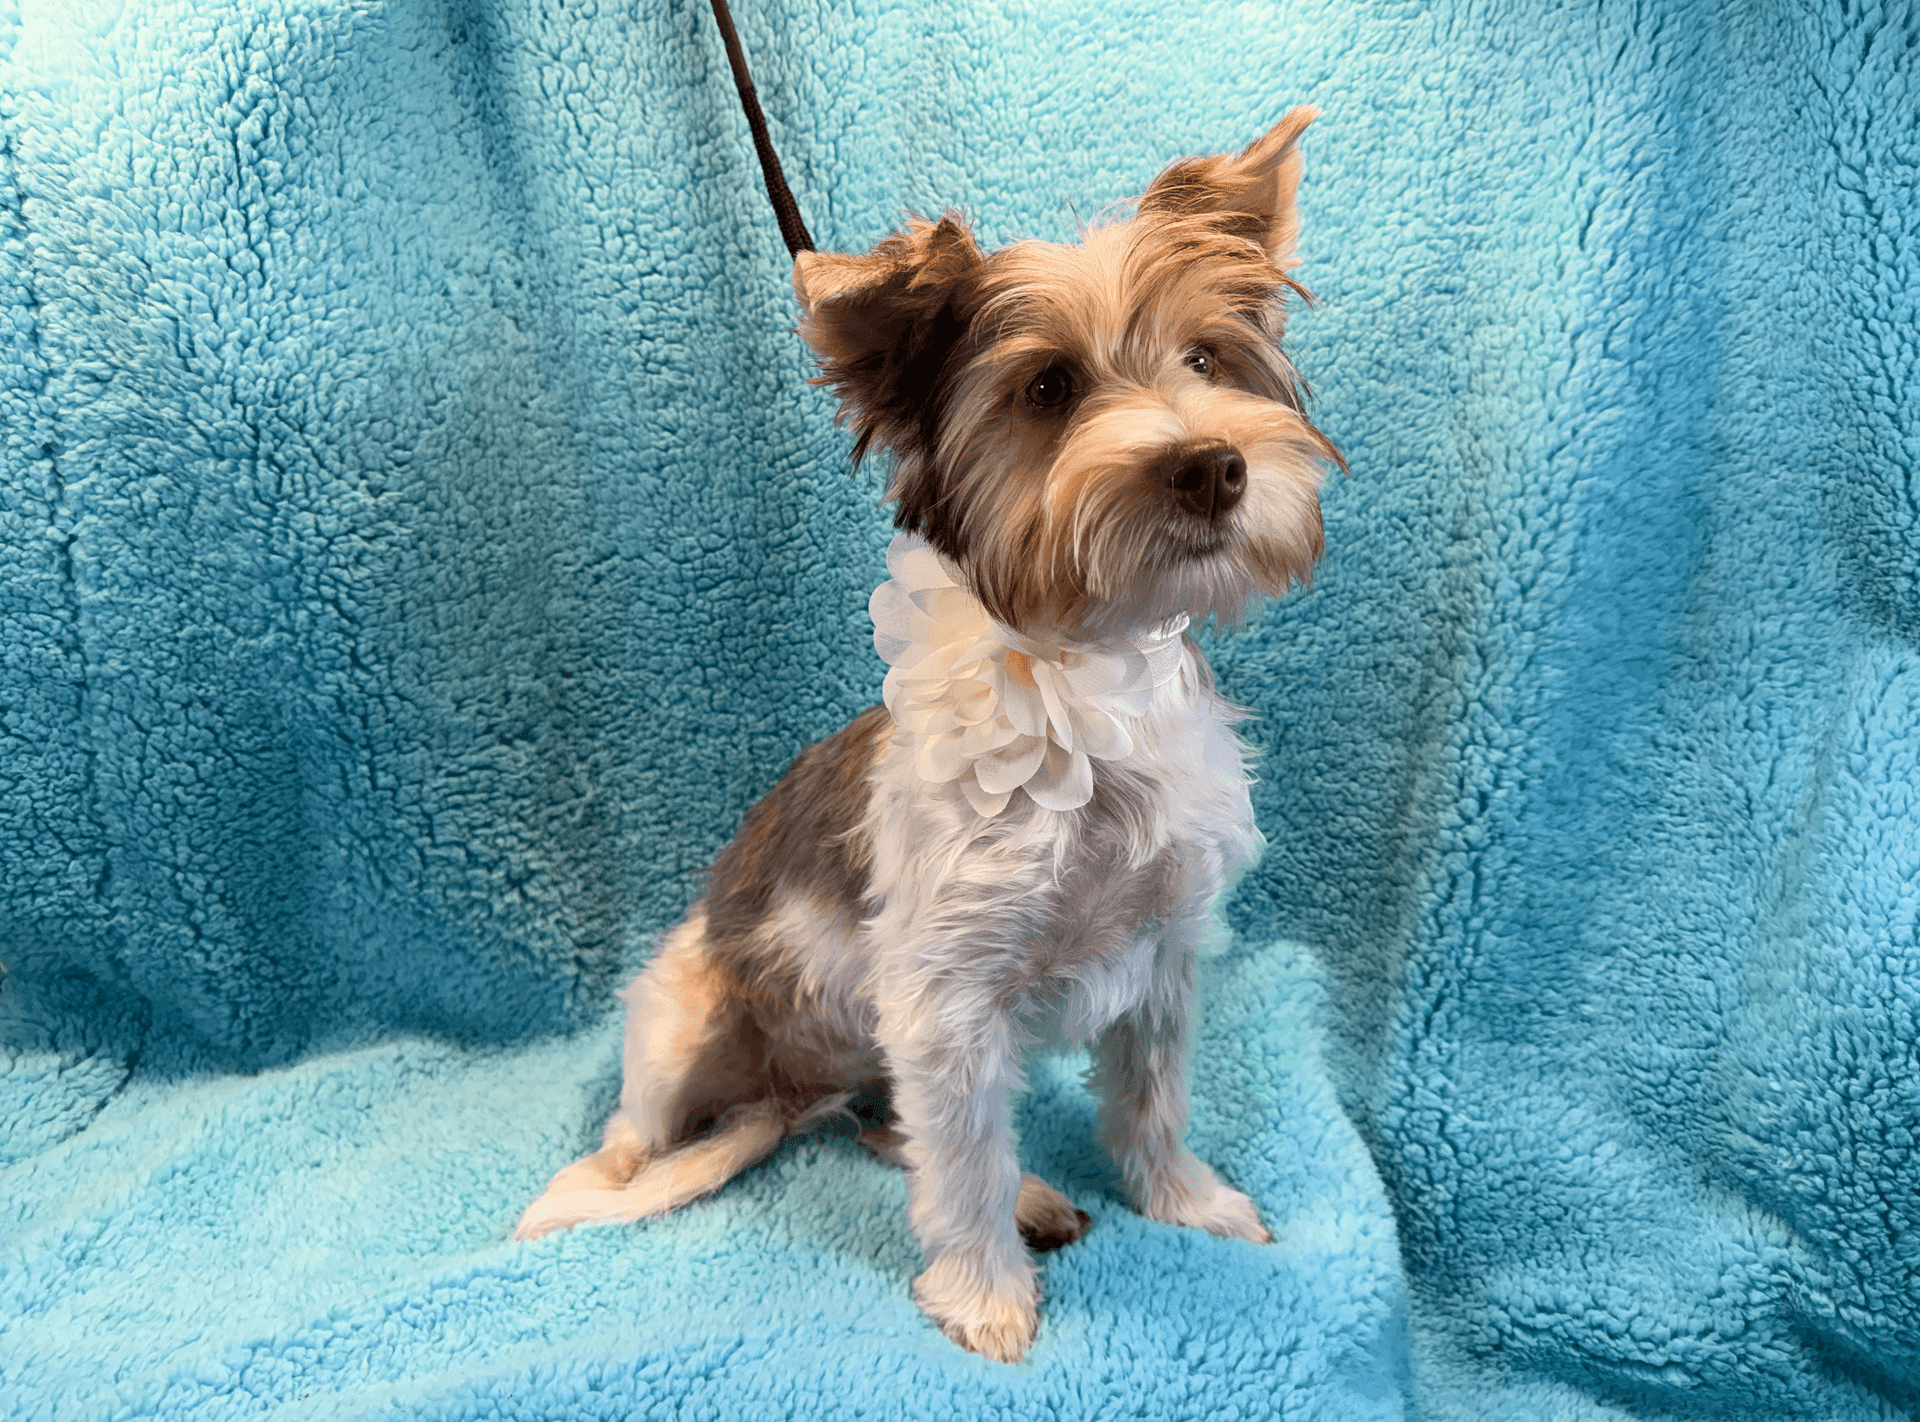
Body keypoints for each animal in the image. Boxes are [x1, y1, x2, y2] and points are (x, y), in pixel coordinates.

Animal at [518, 105, 1344, 1358]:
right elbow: (961, 1166)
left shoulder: (1161, 959)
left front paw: (1181, 1200)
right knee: (659, 1128)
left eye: (1206, 358)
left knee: (883, 1124)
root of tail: (789, 1097)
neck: (1082, 684)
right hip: (683, 1004)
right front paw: (985, 1296)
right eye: (1048, 386)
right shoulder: (943, 1004)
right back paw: (608, 1180)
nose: (1213, 466)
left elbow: (1150, 1103)